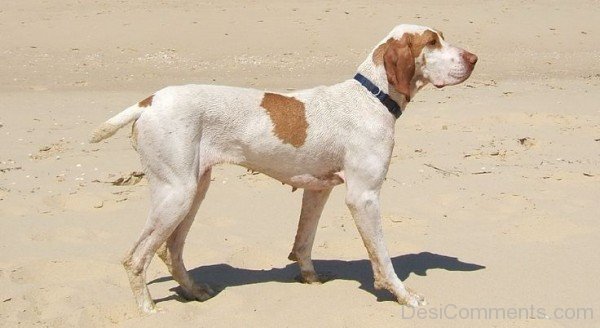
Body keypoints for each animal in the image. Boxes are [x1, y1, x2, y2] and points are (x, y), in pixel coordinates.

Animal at [90, 24, 478, 314]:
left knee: (169, 250)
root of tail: (148, 101)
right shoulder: (363, 197)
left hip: (194, 191)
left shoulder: (318, 189)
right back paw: (147, 308)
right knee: (135, 257)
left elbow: (303, 242)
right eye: (432, 42)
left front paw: (309, 277)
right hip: (176, 194)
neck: (370, 97)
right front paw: (403, 295)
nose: (474, 58)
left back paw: (195, 292)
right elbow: (382, 257)